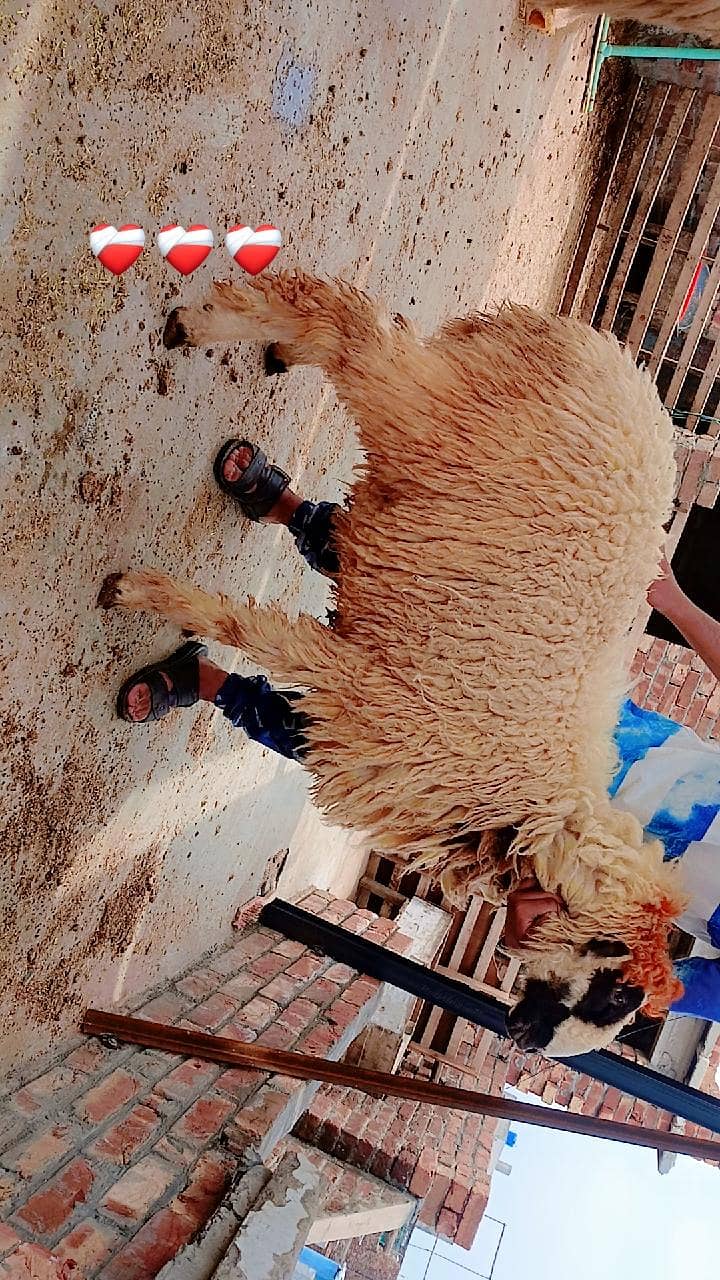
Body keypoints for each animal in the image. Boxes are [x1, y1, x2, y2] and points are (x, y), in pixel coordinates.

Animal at [100, 271, 688, 1056]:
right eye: (616, 993)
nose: (526, 1039)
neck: (534, 811)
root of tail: (616, 357)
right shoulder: (372, 689)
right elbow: (245, 626)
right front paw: (145, 594)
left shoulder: (364, 720)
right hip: (433, 413)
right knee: (345, 322)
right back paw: (203, 326)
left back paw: (259, 407)